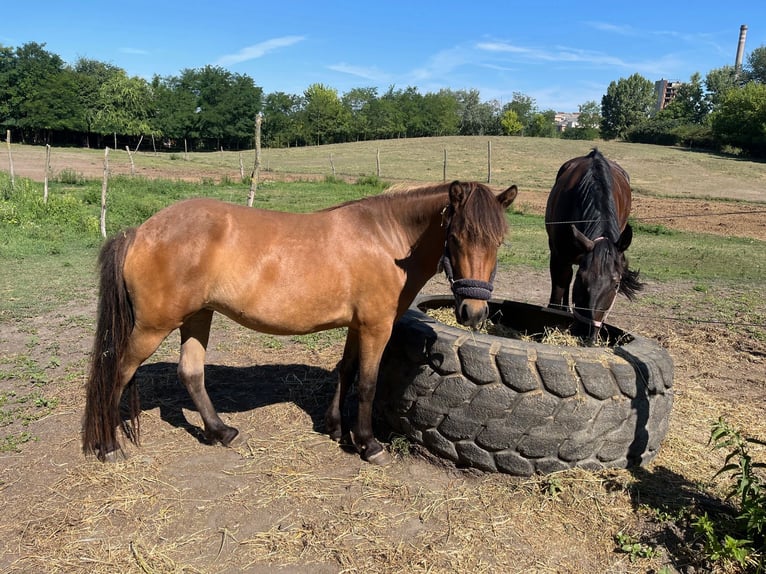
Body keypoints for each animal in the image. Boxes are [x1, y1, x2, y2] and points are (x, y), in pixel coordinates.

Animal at [83, 180, 518, 466]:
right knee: (117, 374)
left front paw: (336, 428)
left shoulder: (357, 325)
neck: (387, 239)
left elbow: (346, 370)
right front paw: (368, 444)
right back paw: (108, 447)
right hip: (153, 326)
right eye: (457, 237)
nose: (473, 313)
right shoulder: (377, 326)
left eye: (498, 241)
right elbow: (367, 383)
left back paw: (221, 432)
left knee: (190, 372)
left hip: (197, 316)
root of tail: (140, 231)